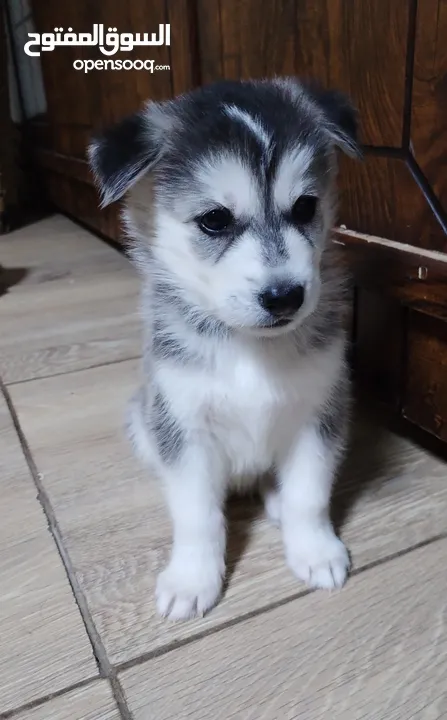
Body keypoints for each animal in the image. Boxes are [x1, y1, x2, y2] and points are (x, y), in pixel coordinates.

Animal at [89, 77, 362, 620]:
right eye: (214, 220)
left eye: (306, 207)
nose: (286, 296)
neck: (250, 347)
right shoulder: (183, 426)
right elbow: (197, 514)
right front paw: (192, 579)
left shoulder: (321, 411)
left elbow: (309, 494)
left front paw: (315, 550)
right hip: (143, 419)